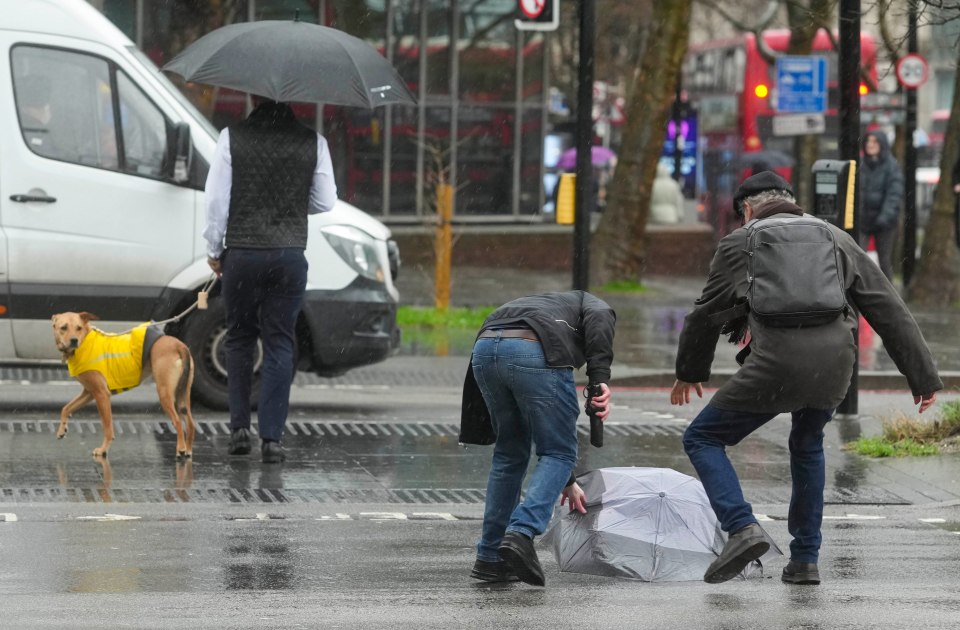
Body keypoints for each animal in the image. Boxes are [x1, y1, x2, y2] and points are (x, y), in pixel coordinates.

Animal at [52, 314, 197, 462]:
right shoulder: (89, 393)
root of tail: (178, 345)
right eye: (63, 328)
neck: (85, 341)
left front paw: (103, 449)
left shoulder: (102, 394)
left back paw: (180, 449)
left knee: (177, 422)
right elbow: (66, 408)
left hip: (165, 393)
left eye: (79, 328)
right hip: (182, 396)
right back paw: (188, 450)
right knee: (190, 424)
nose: (74, 340)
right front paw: (62, 430)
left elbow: (108, 428)